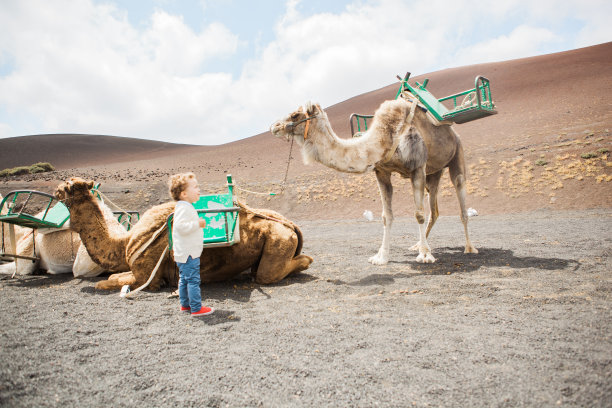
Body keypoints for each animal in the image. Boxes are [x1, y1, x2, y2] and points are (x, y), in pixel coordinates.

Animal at [53, 178, 316, 290]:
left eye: (65, 187)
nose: (54, 193)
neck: (124, 242)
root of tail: (289, 223)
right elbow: (113, 277)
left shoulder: (148, 277)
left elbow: (108, 282)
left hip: (278, 239)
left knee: (267, 274)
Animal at [272, 98, 478, 264]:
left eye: (295, 114)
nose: (274, 126)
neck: (386, 137)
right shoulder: (382, 173)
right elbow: (387, 216)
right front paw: (381, 257)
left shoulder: (417, 167)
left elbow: (419, 214)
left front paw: (426, 255)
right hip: (433, 173)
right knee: (434, 210)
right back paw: (416, 245)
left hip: (456, 156)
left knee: (461, 200)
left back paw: (469, 248)